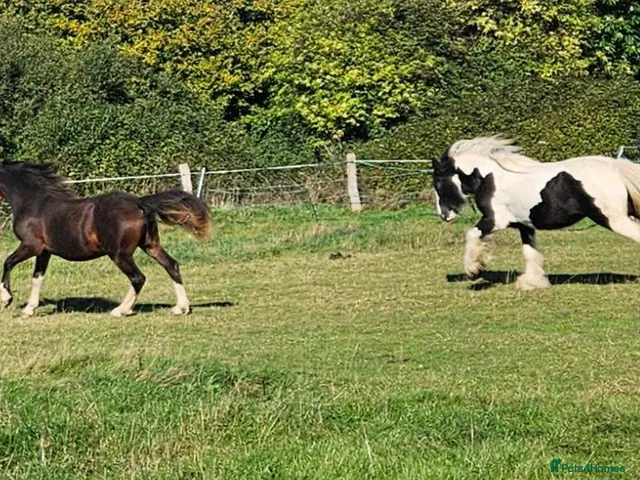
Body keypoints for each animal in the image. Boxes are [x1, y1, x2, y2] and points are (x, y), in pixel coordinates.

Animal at [0, 161, 211, 316]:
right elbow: (37, 277)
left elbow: (7, 262)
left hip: (119, 254)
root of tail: (139, 202)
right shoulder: (44, 252)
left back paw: (120, 310)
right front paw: (29, 309)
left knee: (138, 278)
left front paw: (6, 300)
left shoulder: (31, 246)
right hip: (150, 245)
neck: (33, 202)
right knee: (171, 265)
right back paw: (181, 308)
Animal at [432, 136, 640, 290]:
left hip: (613, 219)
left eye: (439, 185)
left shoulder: (494, 220)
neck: (489, 179)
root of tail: (615, 168)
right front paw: (532, 283)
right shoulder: (524, 225)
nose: (444, 216)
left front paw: (474, 270)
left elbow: (471, 234)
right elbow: (529, 253)